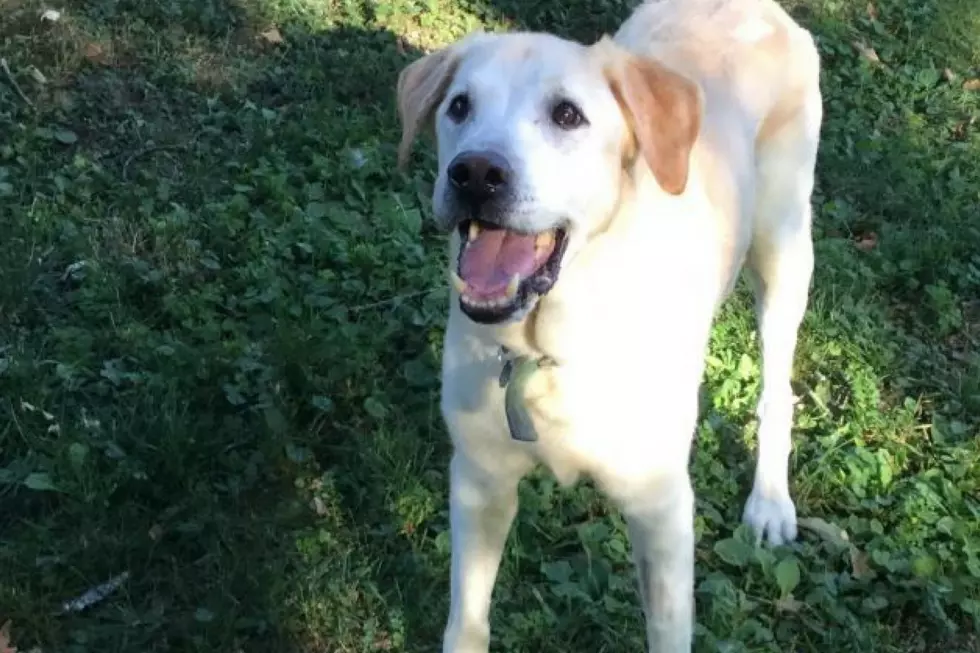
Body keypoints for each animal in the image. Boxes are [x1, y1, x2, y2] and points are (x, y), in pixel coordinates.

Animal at [396, 0, 820, 648]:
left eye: (568, 115)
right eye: (460, 106)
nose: (475, 173)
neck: (547, 350)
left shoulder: (661, 508)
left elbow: (668, 631)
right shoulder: (479, 480)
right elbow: (466, 618)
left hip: (784, 247)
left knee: (777, 388)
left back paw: (770, 502)